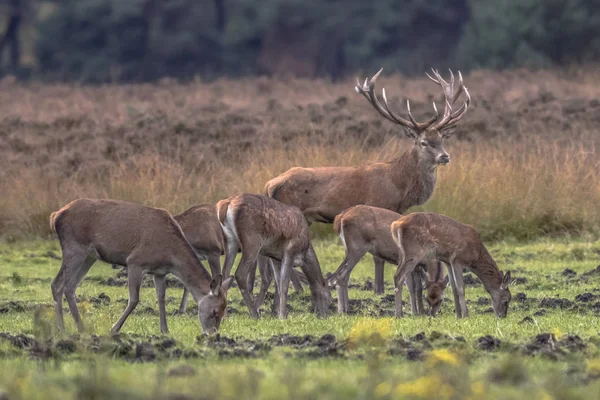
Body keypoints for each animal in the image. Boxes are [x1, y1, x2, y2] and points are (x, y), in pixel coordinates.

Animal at [49, 199, 233, 334]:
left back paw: (75, 328)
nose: (212, 334)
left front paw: (165, 330)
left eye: (224, 311)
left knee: (69, 286)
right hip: (74, 247)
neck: (170, 254)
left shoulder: (159, 272)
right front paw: (114, 328)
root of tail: (55, 215)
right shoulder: (135, 262)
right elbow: (134, 299)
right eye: (215, 312)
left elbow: (161, 297)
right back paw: (64, 329)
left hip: (89, 256)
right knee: (59, 285)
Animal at [264, 68, 472, 294]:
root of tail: (270, 185)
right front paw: (379, 289)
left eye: (441, 140)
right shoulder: (379, 205)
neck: (400, 186)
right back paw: (299, 288)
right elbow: (377, 256)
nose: (445, 156)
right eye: (424, 142)